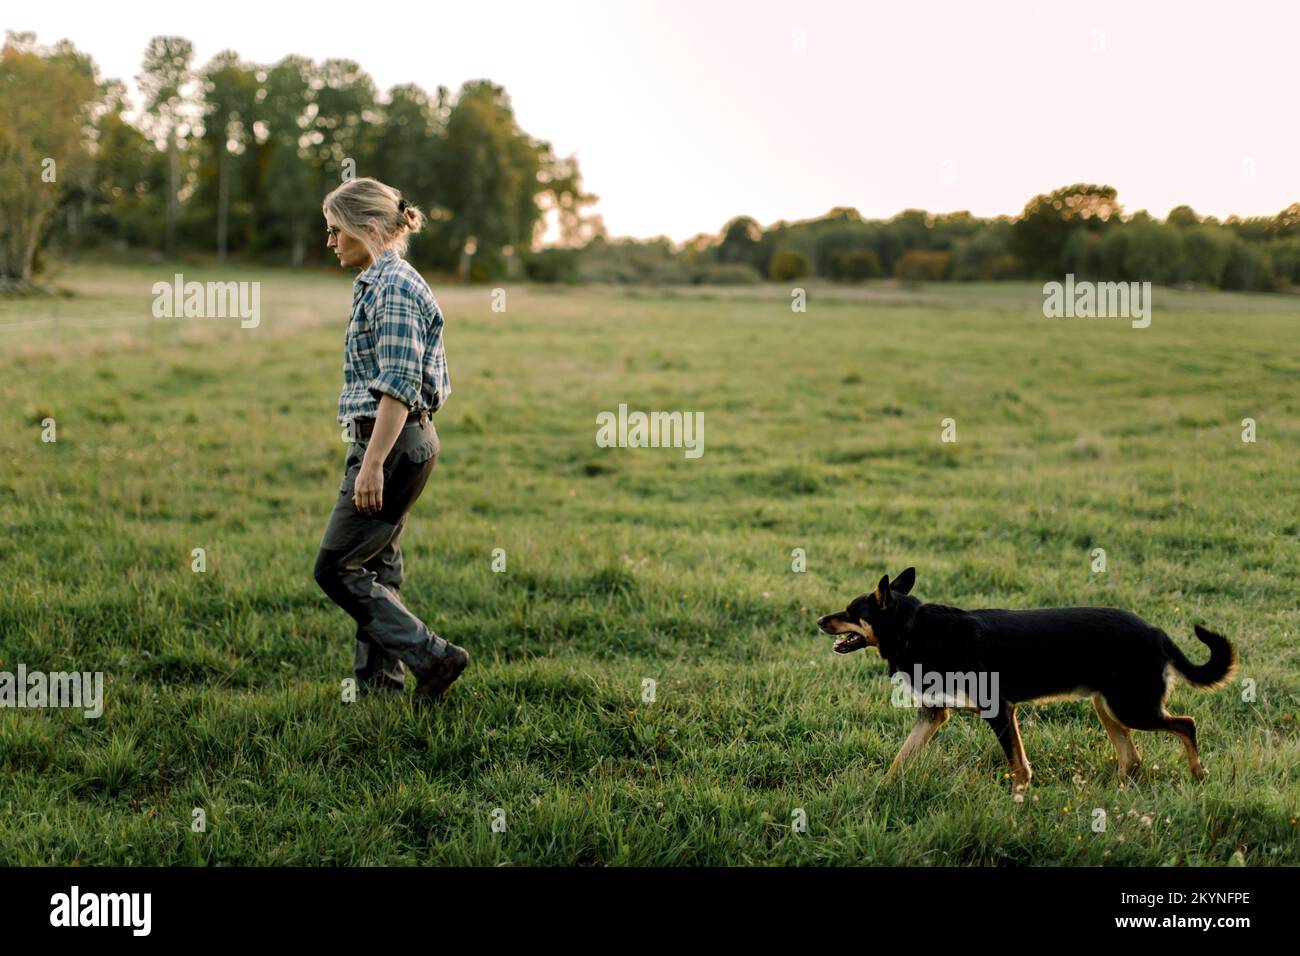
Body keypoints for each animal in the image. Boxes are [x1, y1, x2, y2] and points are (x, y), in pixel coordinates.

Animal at [816, 567, 1232, 790]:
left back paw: (1198, 774)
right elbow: (900, 758)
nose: (820, 620)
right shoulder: (933, 715)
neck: (912, 629)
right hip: (1108, 707)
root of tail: (1156, 631)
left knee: (1186, 724)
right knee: (1132, 758)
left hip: (1132, 707)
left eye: (852, 612)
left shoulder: (999, 710)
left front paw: (1018, 797)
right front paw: (881, 790)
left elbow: (1017, 763)